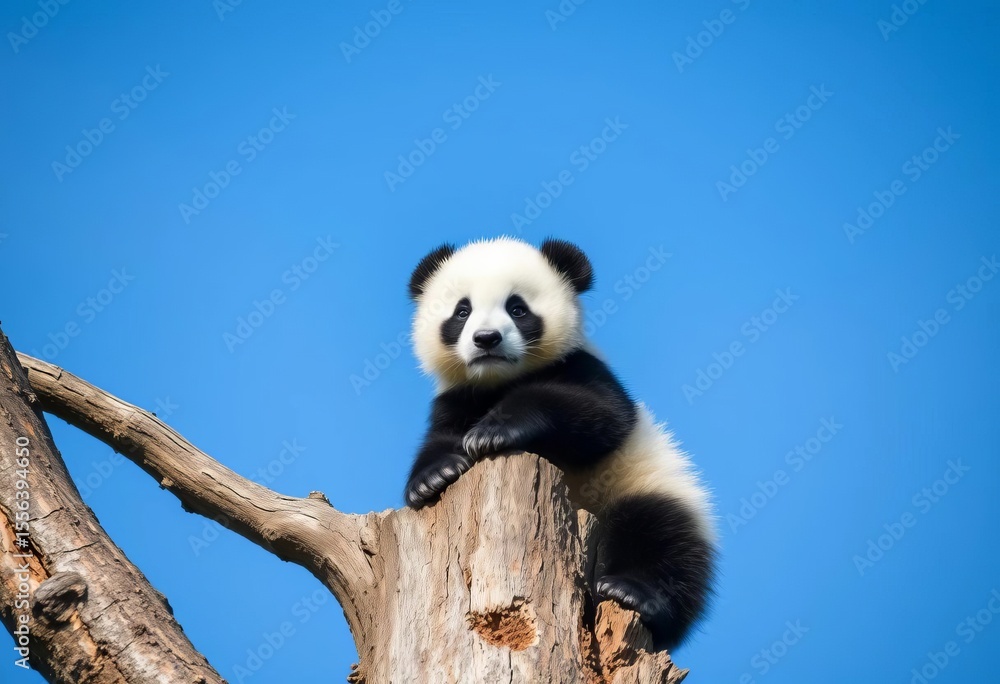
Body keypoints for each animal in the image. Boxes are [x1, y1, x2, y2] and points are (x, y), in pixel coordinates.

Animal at [403, 236, 715, 650]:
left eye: (517, 308)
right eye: (462, 311)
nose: (487, 339)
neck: (498, 381)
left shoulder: (584, 369)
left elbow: (599, 414)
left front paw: (493, 431)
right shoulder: (456, 398)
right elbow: (440, 439)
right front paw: (433, 476)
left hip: (646, 484)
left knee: (664, 538)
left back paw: (633, 592)